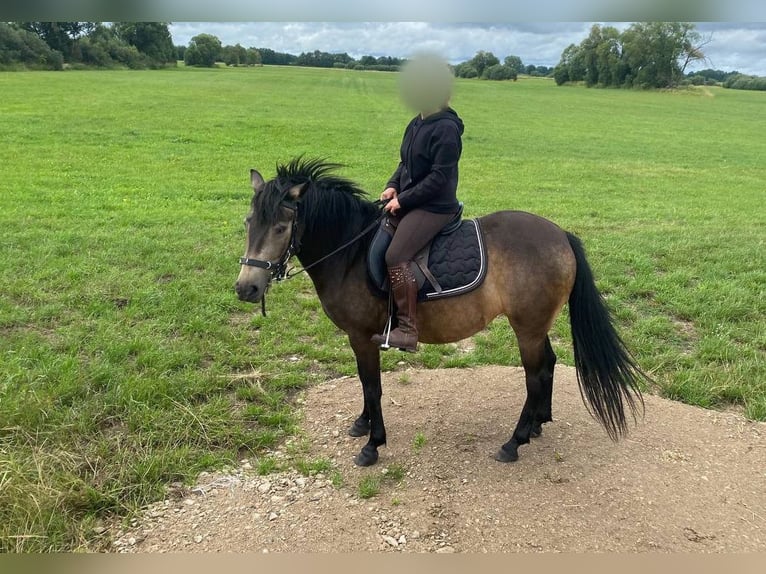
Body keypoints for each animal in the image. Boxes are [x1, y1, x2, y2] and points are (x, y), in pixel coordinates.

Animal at [236, 159, 648, 468]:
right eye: (248, 222)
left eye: (281, 227)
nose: (246, 289)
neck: (350, 252)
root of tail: (561, 235)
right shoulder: (356, 339)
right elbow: (365, 385)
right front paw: (362, 423)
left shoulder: (363, 336)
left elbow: (373, 386)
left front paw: (373, 444)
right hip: (535, 325)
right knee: (548, 364)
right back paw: (537, 425)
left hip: (527, 328)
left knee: (534, 375)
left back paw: (514, 442)